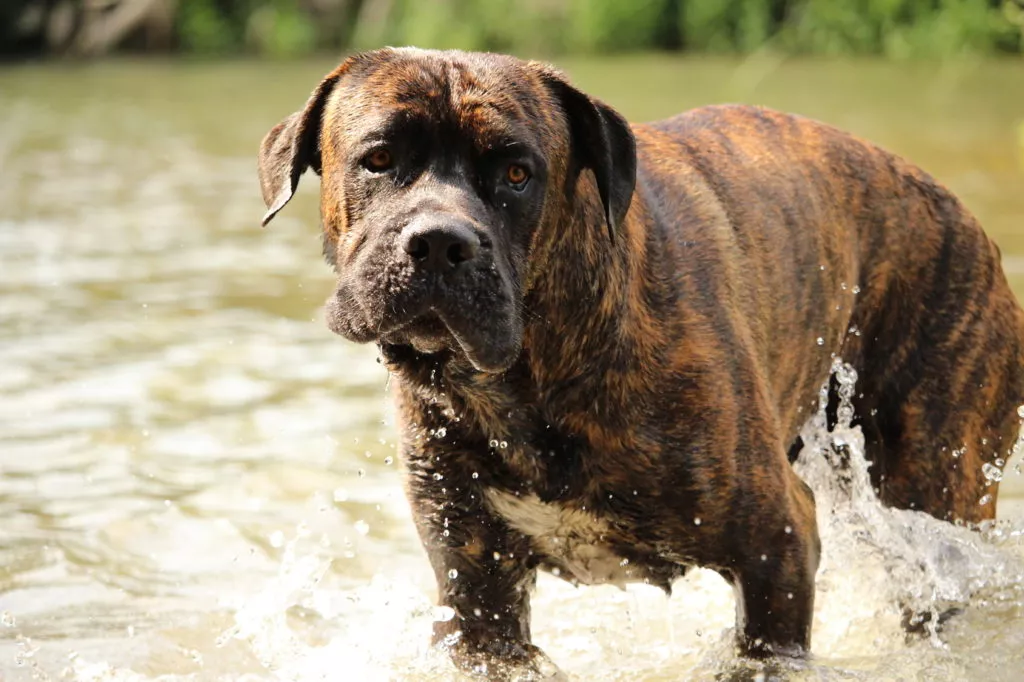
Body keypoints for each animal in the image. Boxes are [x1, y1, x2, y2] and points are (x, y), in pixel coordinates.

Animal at [253, 46, 1024, 675]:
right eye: (380, 159)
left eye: (517, 173)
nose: (442, 241)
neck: (527, 378)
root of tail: (967, 219)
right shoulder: (477, 593)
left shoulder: (777, 546)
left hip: (936, 491)